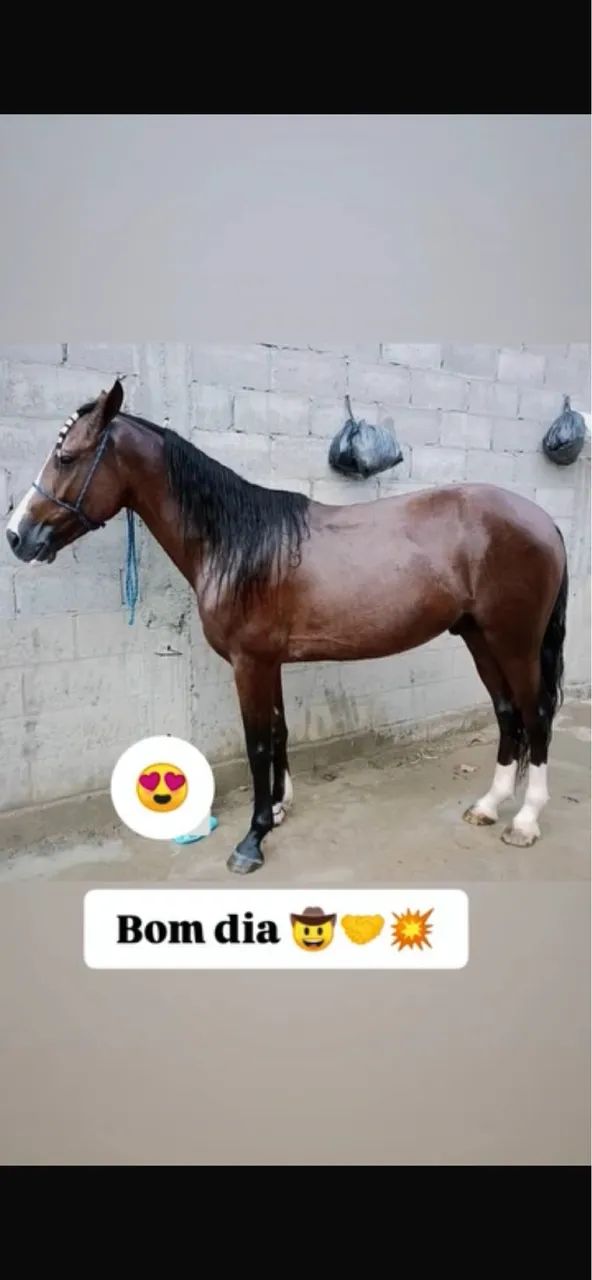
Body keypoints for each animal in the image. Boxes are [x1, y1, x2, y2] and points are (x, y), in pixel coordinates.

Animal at [6, 377, 569, 875]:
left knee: (536, 714)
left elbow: (257, 743)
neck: (238, 544)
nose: (16, 535)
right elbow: (278, 731)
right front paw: (276, 810)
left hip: (515, 642)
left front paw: (251, 841)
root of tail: (543, 520)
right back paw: (489, 805)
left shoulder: (249, 663)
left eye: (66, 457)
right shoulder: (268, 662)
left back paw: (524, 820)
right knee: (506, 714)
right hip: (479, 637)